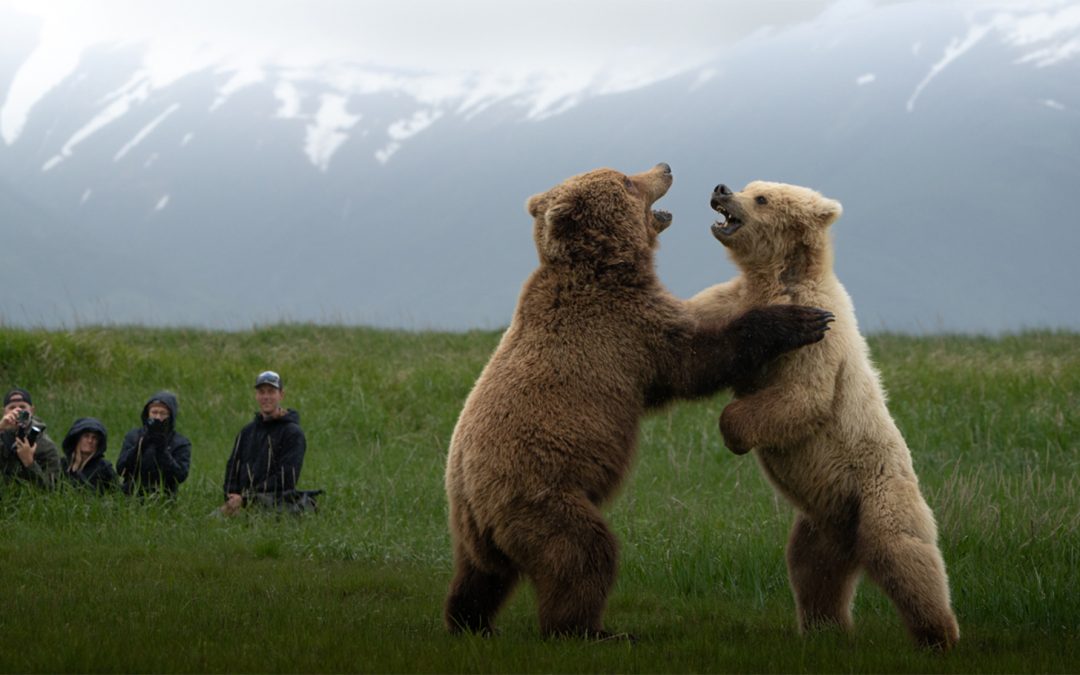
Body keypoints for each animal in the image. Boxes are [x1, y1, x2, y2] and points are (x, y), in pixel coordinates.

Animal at [443, 164, 835, 639]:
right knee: (582, 553)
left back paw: (471, 621)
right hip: (538, 496)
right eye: (627, 180)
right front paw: (801, 320)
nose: (664, 167)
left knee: (480, 577)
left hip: (473, 530)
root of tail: (470, 497)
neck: (608, 268)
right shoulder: (626, 330)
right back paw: (591, 630)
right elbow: (695, 360)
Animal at [687, 180, 960, 649]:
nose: (720, 189)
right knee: (812, 571)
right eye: (749, 186)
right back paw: (825, 628)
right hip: (823, 522)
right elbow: (693, 325)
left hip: (879, 493)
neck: (778, 280)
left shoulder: (820, 337)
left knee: (905, 554)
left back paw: (939, 634)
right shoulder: (731, 301)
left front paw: (734, 432)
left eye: (761, 198)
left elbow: (804, 397)